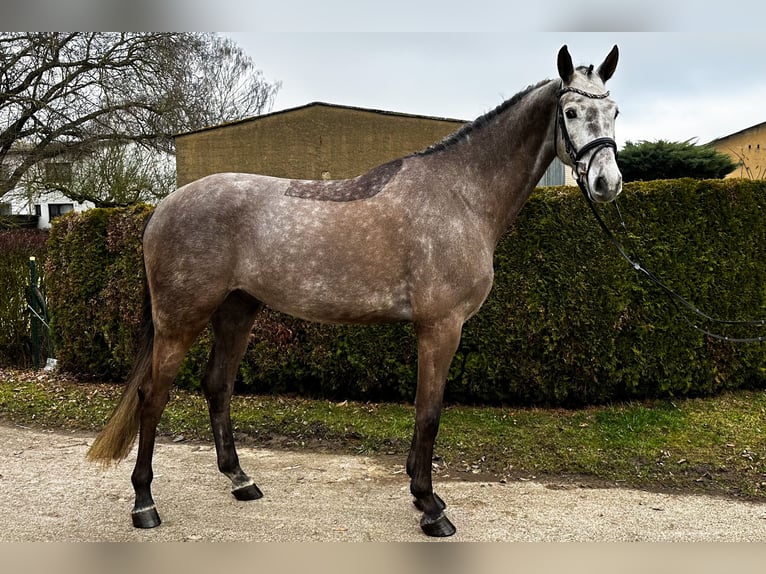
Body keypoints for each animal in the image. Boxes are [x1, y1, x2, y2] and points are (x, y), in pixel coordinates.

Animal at [87, 44, 622, 538]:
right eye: (571, 112)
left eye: (614, 111)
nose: (607, 182)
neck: (460, 196)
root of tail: (162, 207)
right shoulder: (441, 327)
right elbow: (429, 412)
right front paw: (430, 507)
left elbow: (424, 412)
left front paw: (421, 492)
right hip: (181, 318)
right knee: (153, 396)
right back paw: (144, 504)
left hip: (237, 310)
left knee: (217, 385)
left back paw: (241, 481)